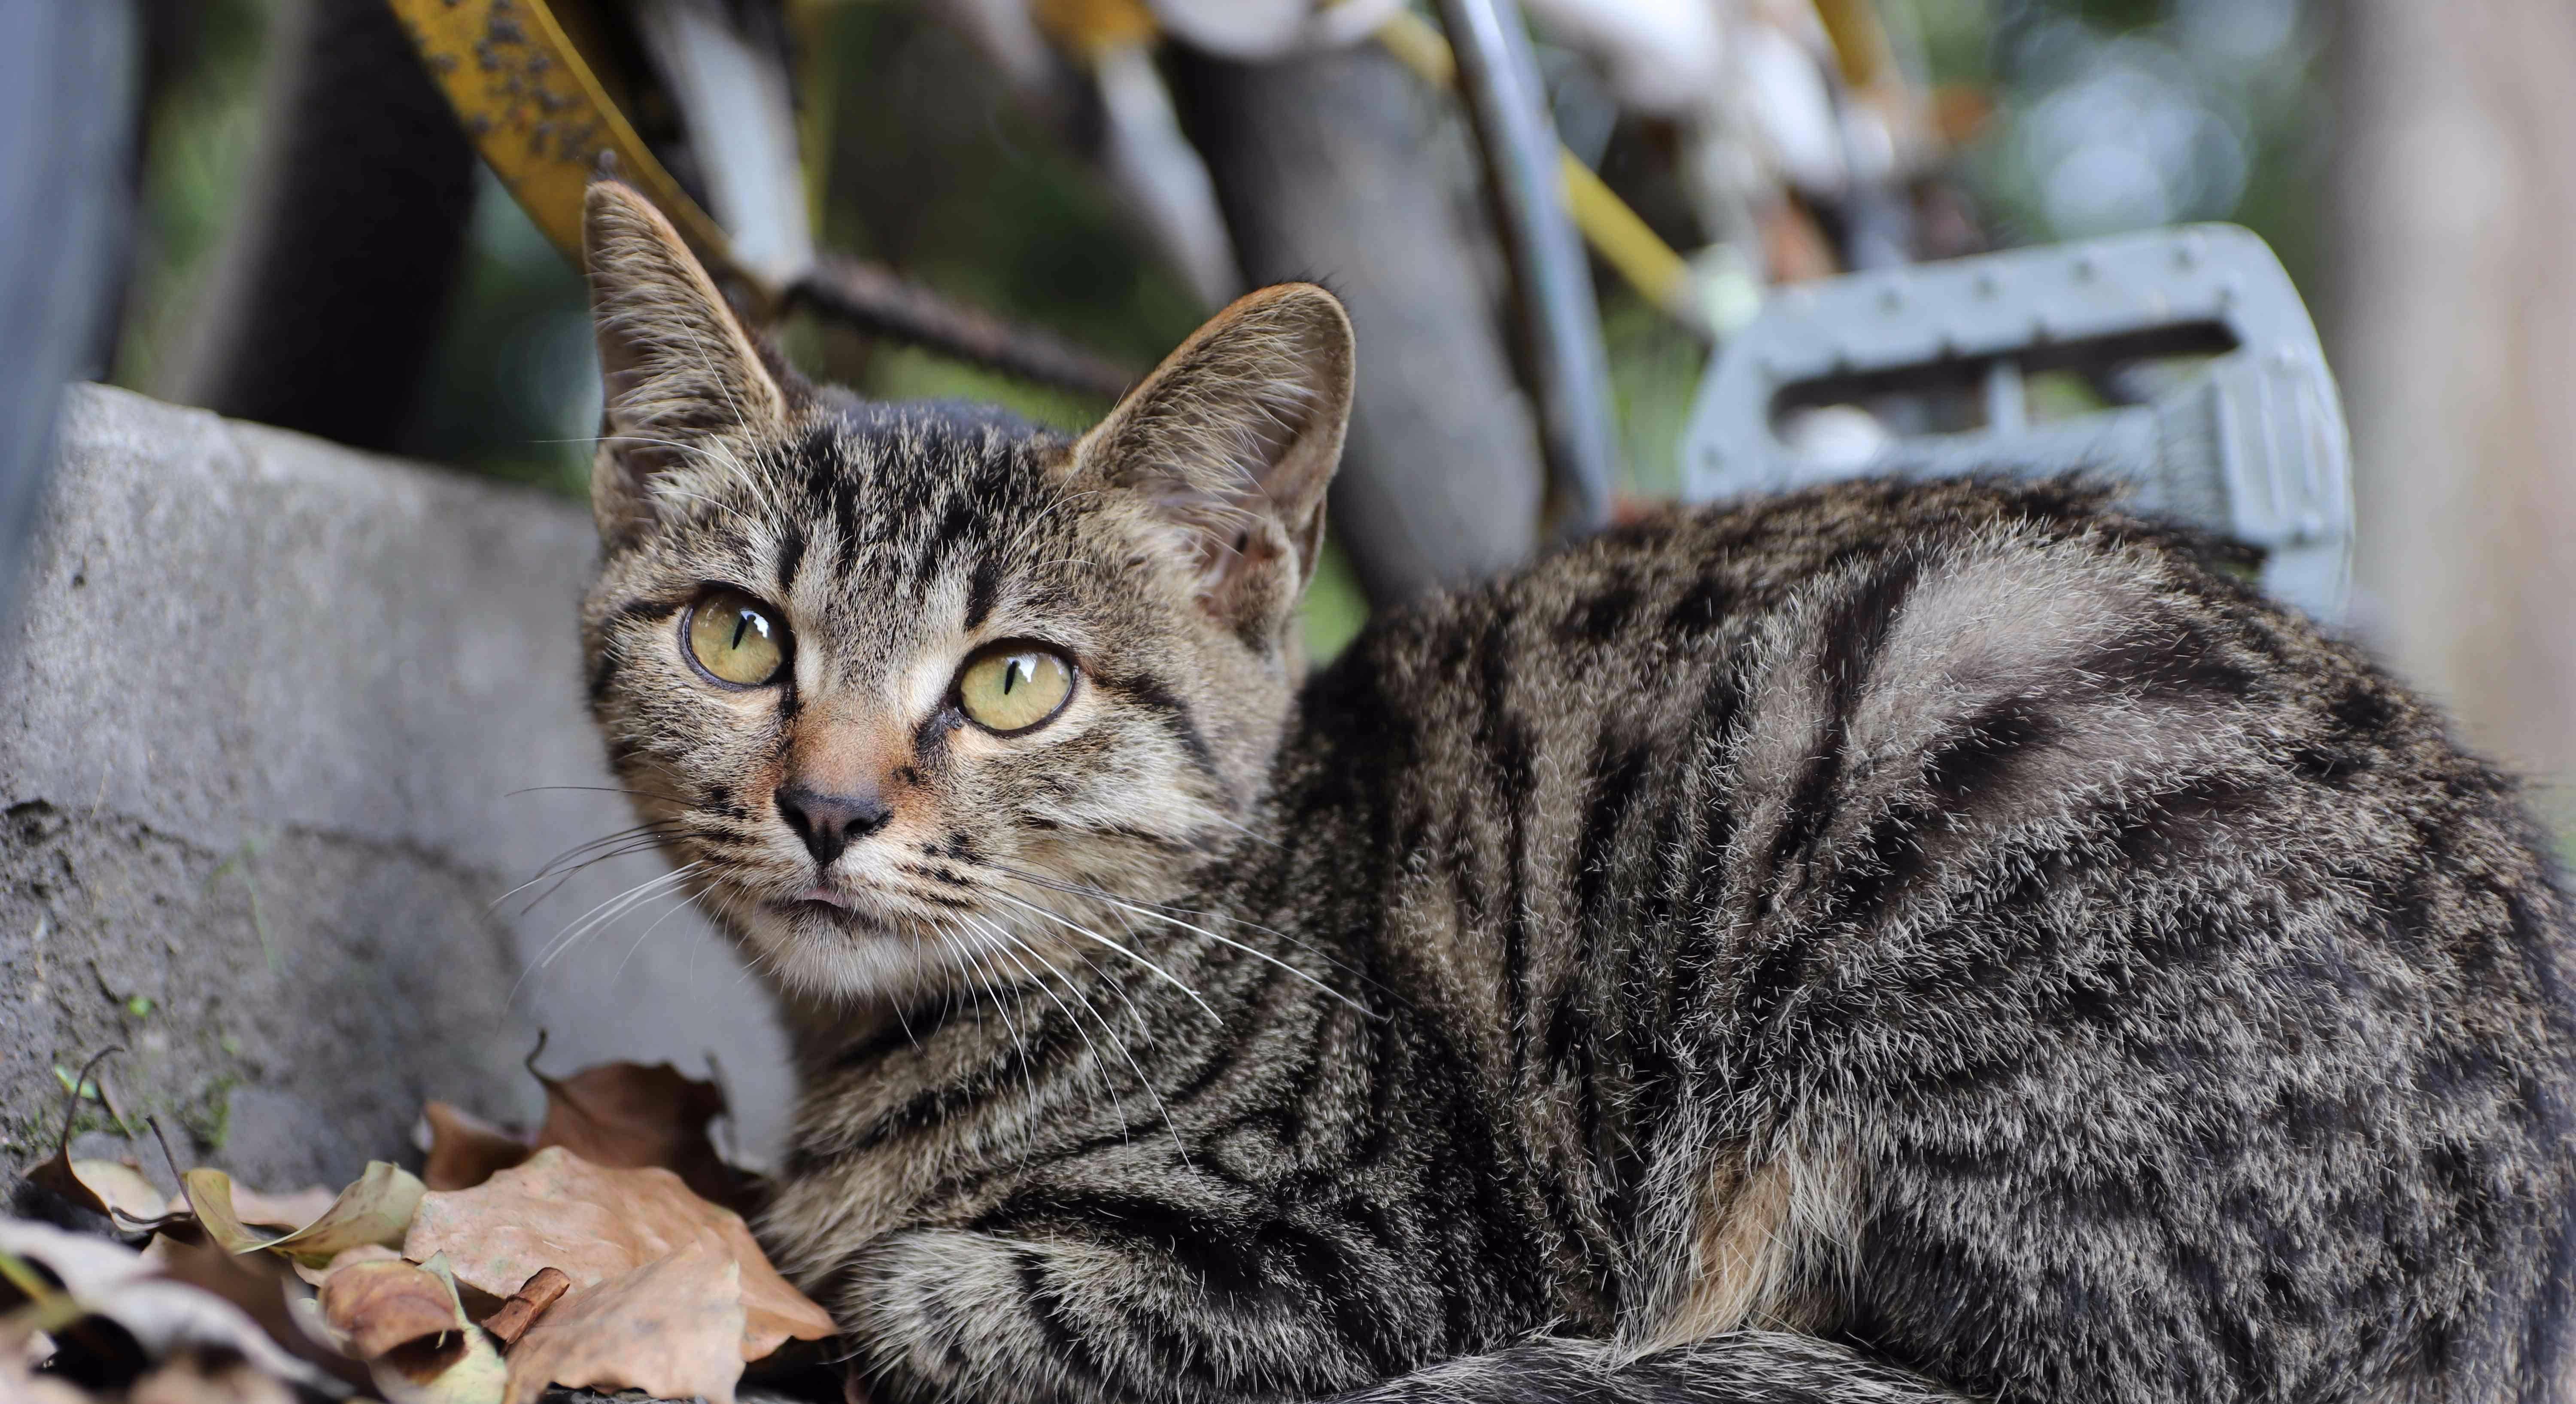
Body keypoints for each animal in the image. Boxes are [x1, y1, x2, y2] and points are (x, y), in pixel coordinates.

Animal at [569, 185, 2576, 1401]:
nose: (829, 805)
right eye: (740, 637)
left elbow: (933, 1288)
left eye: (1011, 681)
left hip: (1930, 734)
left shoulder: (1368, 1251)